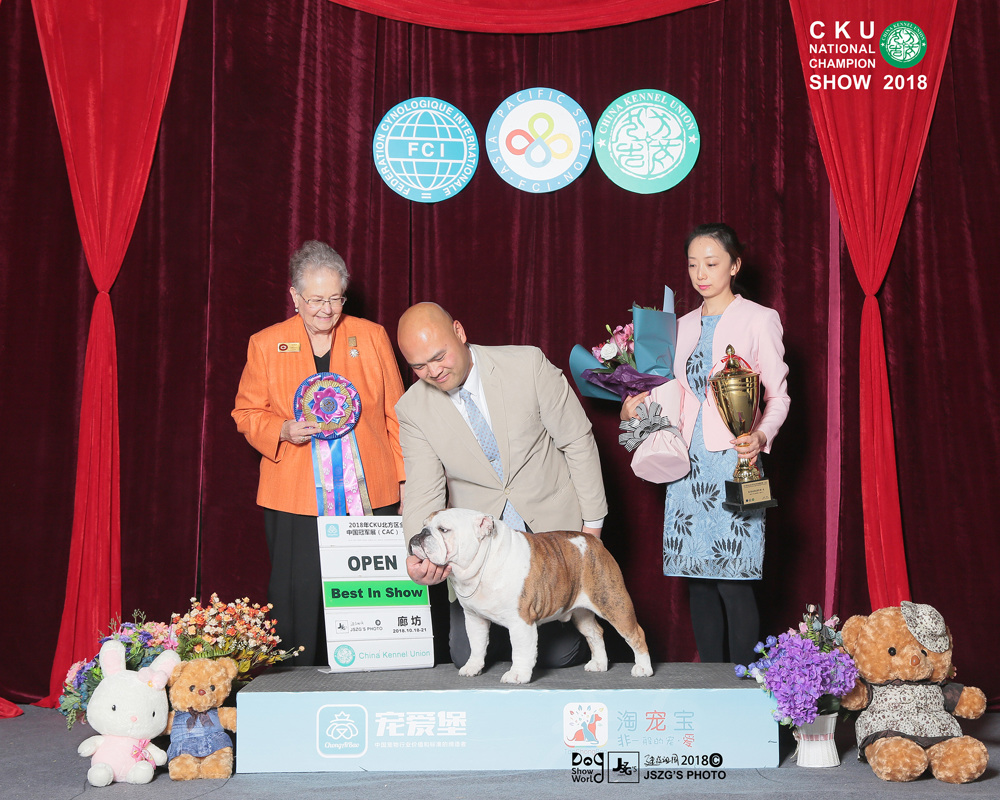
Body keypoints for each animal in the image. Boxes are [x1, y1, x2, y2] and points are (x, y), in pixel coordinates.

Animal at [408, 508, 653, 684]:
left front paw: (517, 675)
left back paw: (643, 668)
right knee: (595, 633)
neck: (484, 563)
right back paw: (599, 664)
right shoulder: (475, 619)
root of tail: (594, 542)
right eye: (424, 526)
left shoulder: (520, 622)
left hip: (613, 602)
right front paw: (473, 667)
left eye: (444, 530)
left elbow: (520, 651)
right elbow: (476, 645)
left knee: (635, 634)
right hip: (581, 612)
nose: (420, 534)